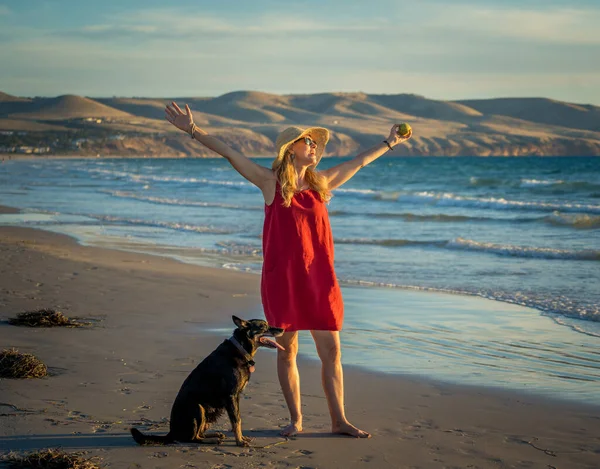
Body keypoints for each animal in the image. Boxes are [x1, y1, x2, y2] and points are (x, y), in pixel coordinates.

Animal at [131, 314, 284, 446]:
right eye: (264, 326)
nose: (282, 329)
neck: (240, 348)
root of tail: (171, 433)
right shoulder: (231, 396)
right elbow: (236, 420)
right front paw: (239, 441)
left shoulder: (236, 397)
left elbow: (238, 419)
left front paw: (241, 438)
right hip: (198, 408)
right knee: (192, 438)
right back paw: (212, 440)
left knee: (199, 434)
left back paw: (214, 435)